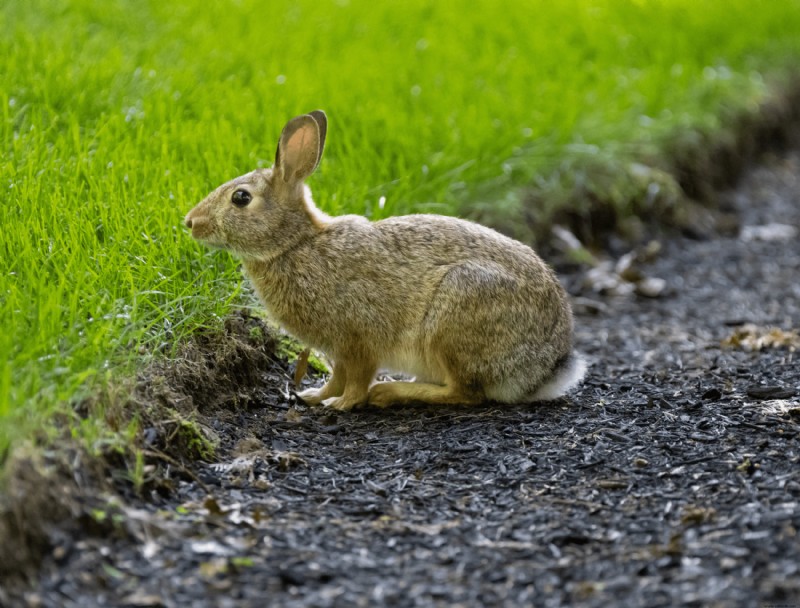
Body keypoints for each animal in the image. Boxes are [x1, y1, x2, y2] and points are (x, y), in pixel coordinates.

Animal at [188, 111, 588, 410]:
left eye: (241, 198)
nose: (191, 223)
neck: (294, 243)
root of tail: (545, 368)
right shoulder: (338, 350)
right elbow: (337, 376)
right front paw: (315, 396)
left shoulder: (358, 338)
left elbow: (356, 377)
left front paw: (342, 404)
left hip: (457, 311)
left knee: (465, 393)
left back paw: (391, 393)